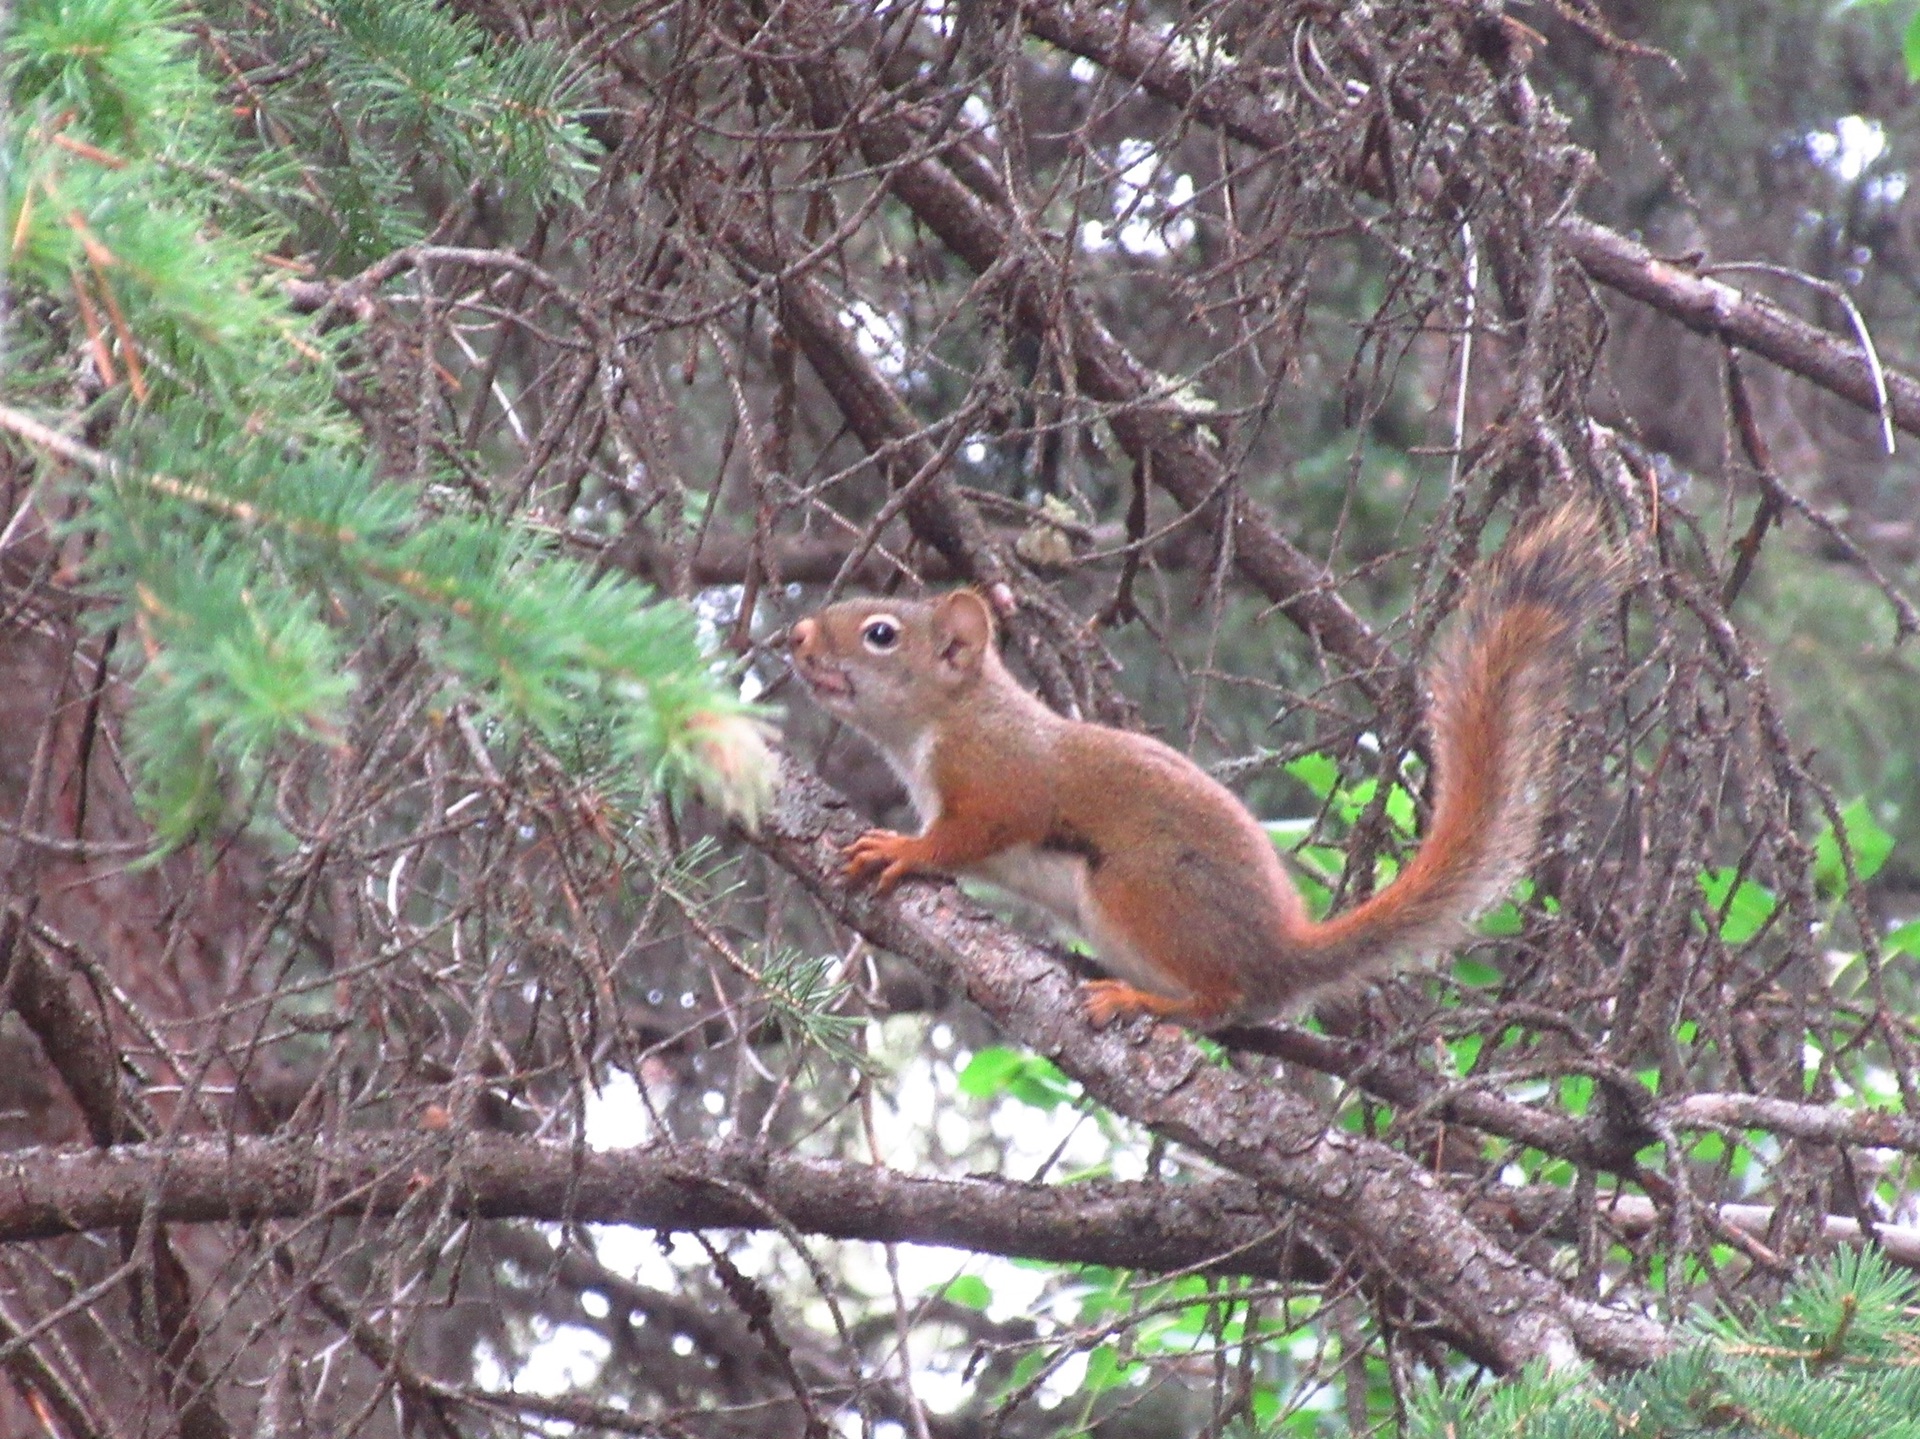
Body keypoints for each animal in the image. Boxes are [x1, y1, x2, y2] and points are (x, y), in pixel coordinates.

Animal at [783, 503, 1620, 1022]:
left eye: (881, 633)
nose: (795, 634)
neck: (943, 721)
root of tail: (1281, 949)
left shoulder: (1000, 773)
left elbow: (976, 828)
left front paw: (904, 848)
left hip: (1143, 891)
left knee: (1219, 1004)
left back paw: (1143, 1001)